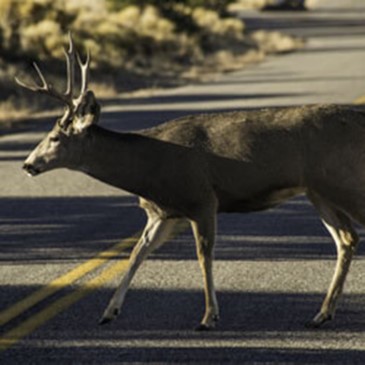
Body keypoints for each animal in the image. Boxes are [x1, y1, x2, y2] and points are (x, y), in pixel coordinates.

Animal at [17, 34, 364, 330]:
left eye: (55, 137)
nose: (27, 164)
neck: (148, 167)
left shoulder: (201, 199)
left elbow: (203, 254)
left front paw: (209, 317)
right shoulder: (161, 212)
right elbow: (137, 253)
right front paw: (108, 312)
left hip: (343, 181)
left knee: (350, 234)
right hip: (319, 192)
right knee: (346, 239)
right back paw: (322, 314)